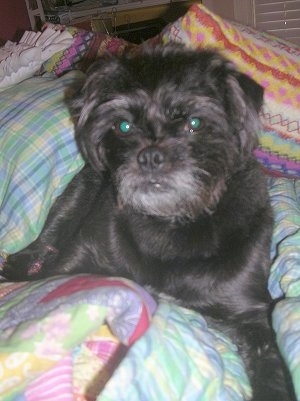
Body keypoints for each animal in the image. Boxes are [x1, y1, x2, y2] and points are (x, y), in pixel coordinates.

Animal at [2, 42, 296, 398]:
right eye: (123, 126)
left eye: (195, 122)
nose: (150, 156)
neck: (170, 222)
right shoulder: (80, 258)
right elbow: (55, 275)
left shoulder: (250, 312)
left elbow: (273, 367)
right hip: (74, 199)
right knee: (45, 241)